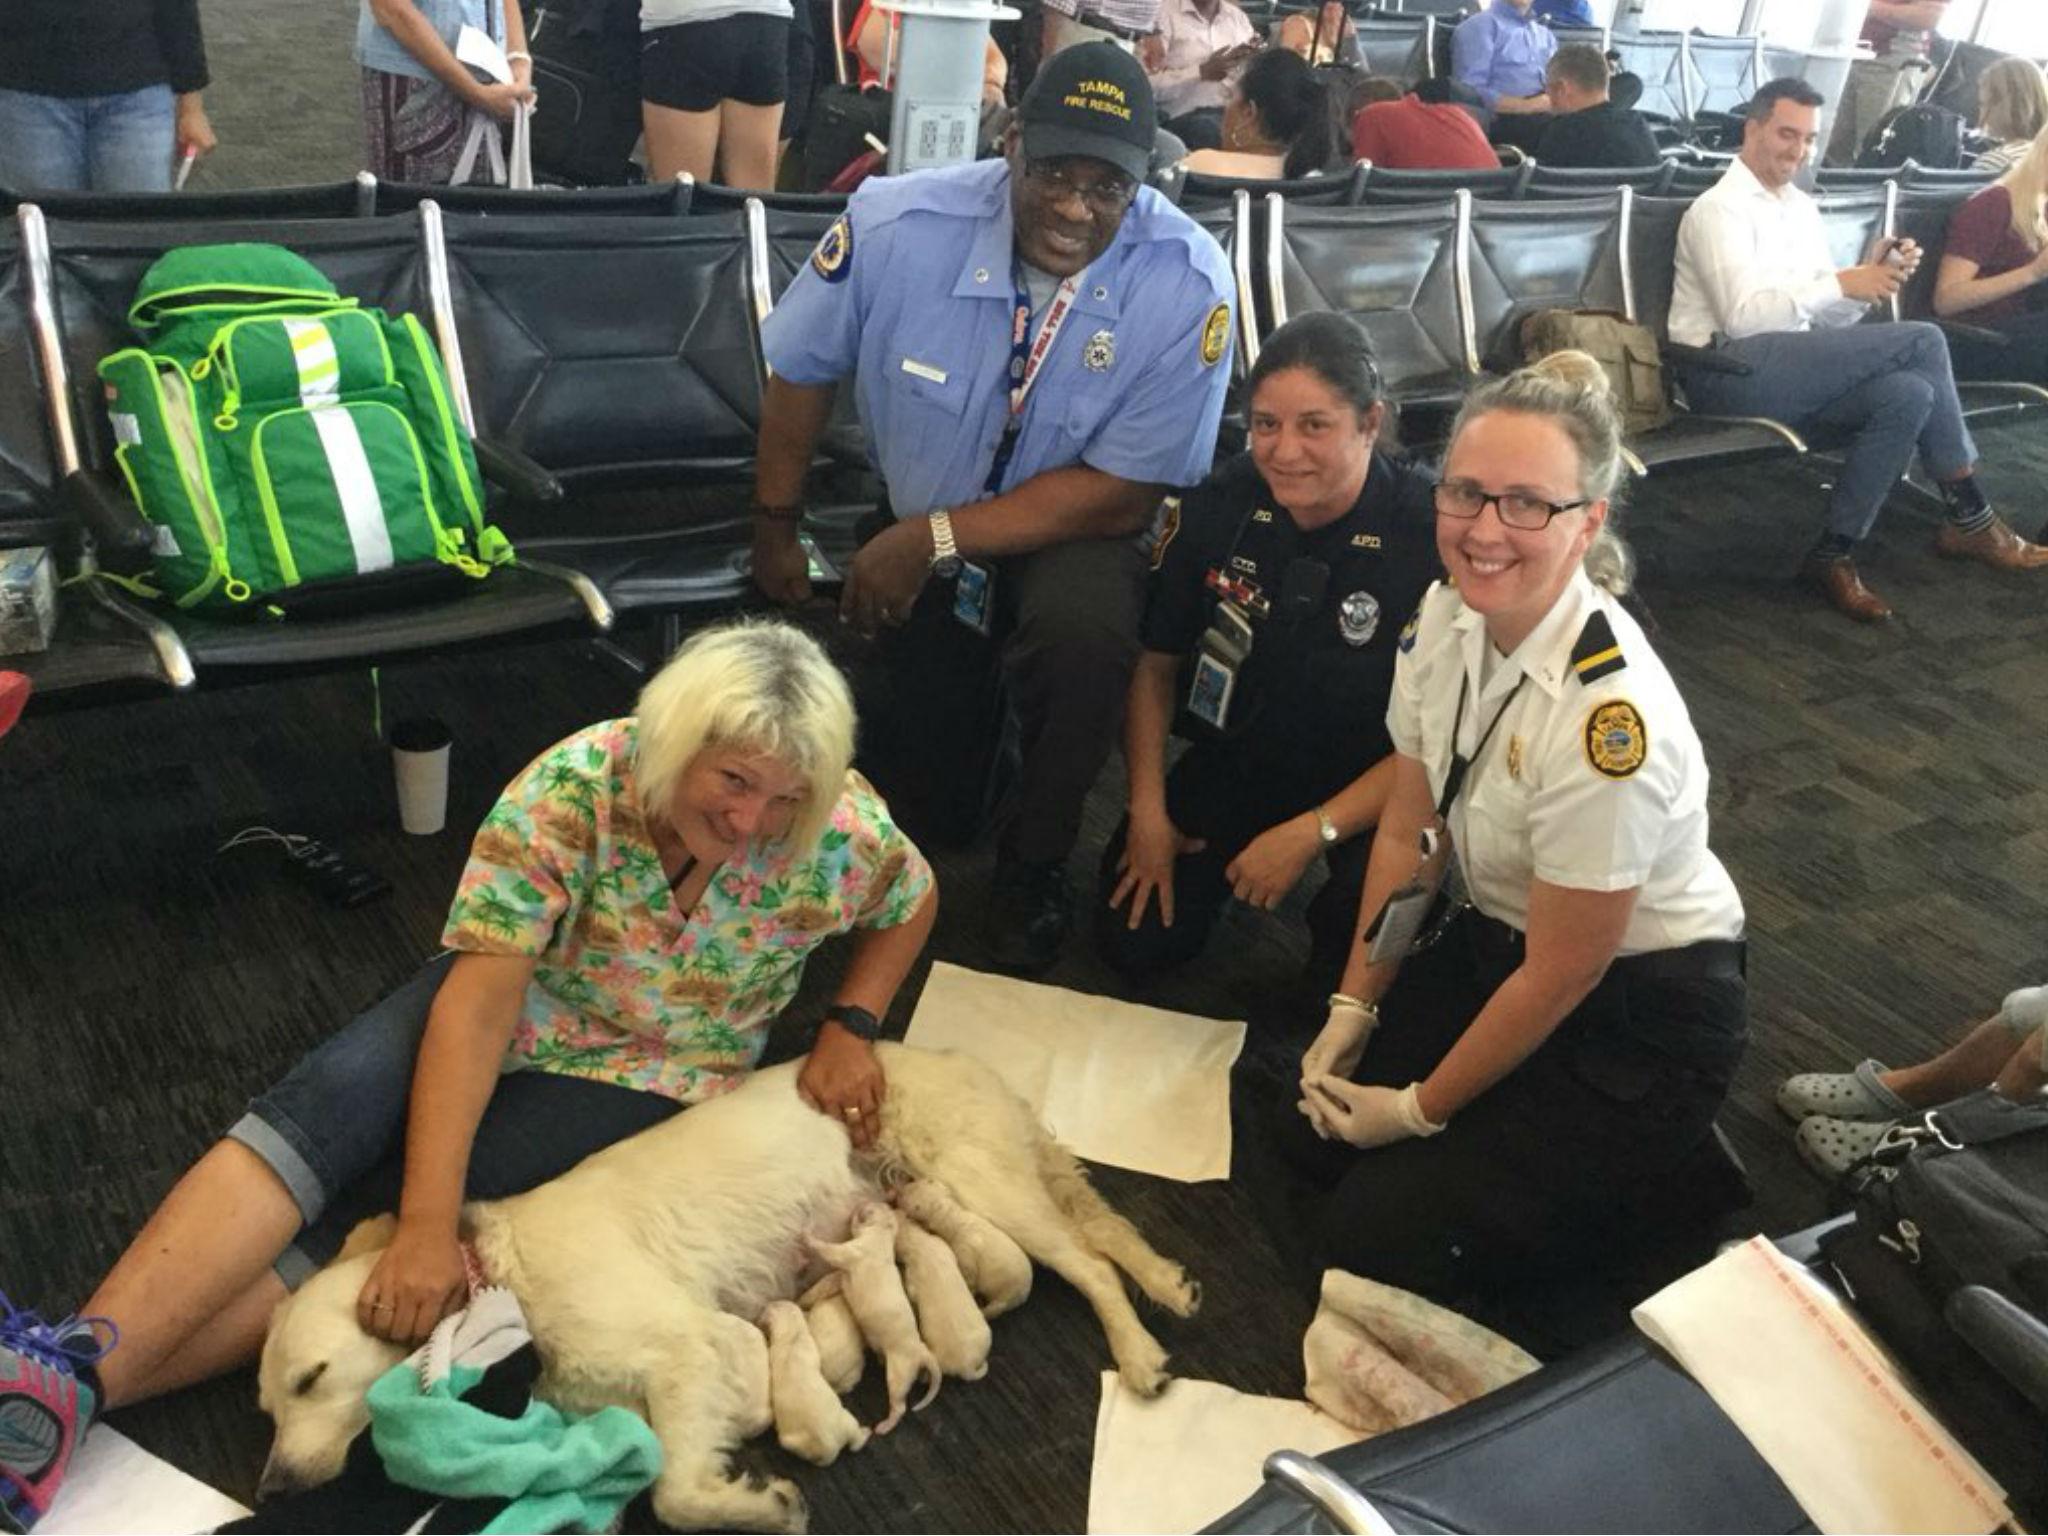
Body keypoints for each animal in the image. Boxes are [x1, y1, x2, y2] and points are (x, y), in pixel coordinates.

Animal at [811, 1204, 946, 1433]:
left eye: (879, 1207)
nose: (863, 1203)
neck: (883, 1236)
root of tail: (920, 1351)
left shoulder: (849, 1252)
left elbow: (828, 1249)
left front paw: (807, 1234)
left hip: (898, 1375)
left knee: (899, 1407)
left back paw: (884, 1426)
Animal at [897, 1179, 1032, 1327]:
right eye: (927, 1181)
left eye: (917, 1207)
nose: (899, 1193)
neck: (954, 1217)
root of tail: (1024, 1292)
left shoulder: (965, 1248)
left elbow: (969, 1271)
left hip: (1005, 1291)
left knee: (996, 1307)